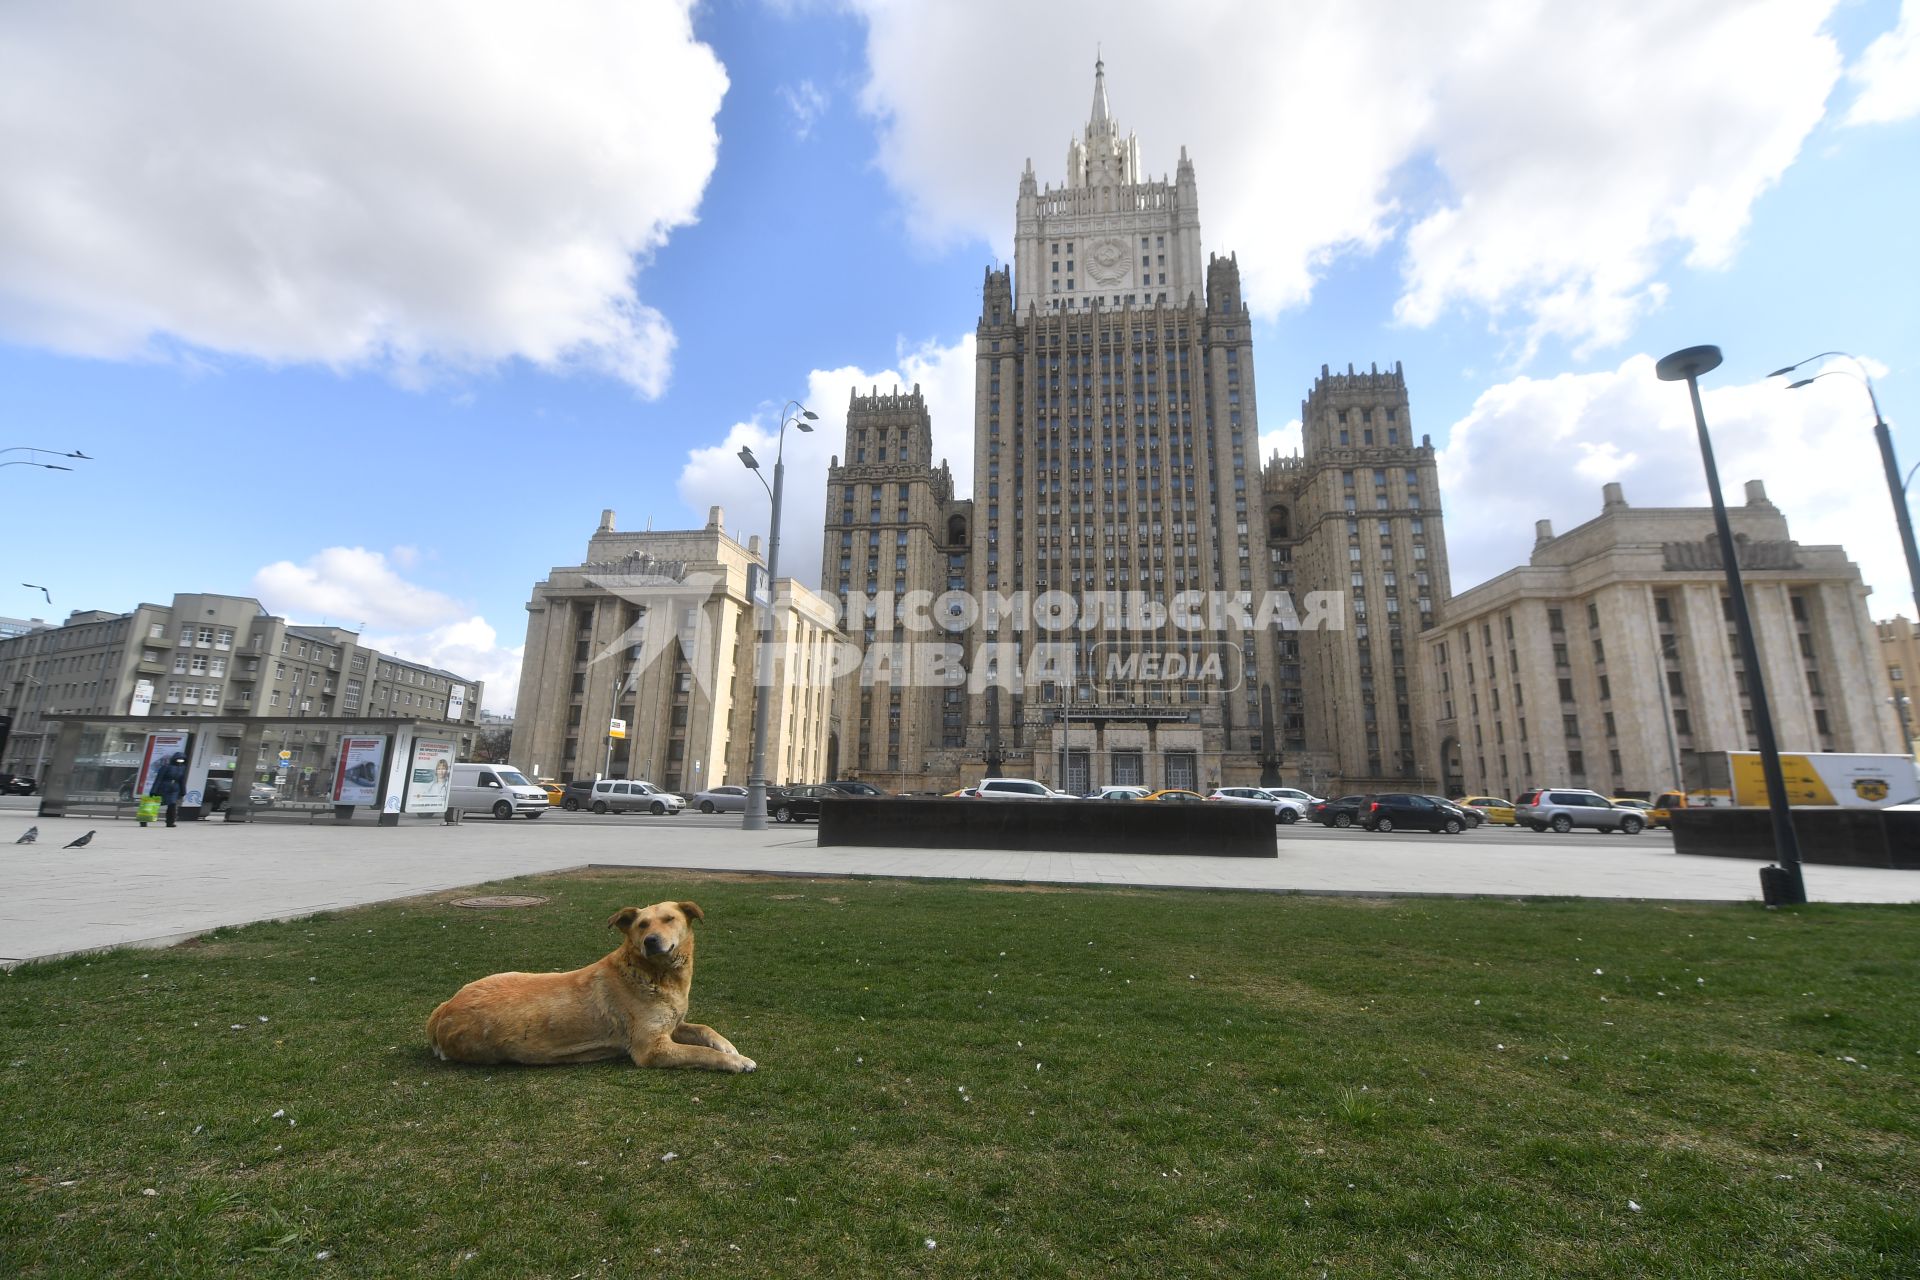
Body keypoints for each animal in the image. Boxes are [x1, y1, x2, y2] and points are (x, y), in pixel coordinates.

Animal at [424, 905, 752, 1074]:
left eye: (670, 919)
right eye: (642, 925)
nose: (651, 941)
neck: (653, 975)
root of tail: (441, 1011)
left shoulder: (673, 1024)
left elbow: (704, 1029)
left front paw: (727, 1046)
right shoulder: (651, 1049)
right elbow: (701, 1053)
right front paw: (737, 1062)